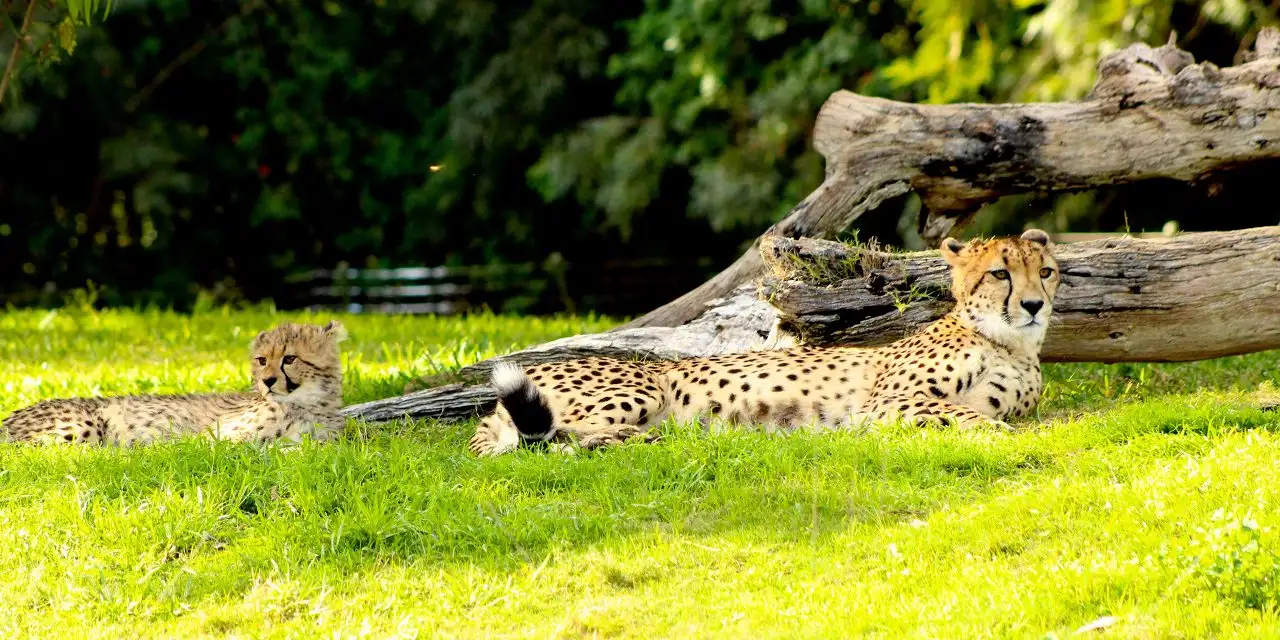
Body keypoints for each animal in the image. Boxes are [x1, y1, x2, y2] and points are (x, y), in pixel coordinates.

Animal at [471, 230, 1059, 455]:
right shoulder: (888, 402)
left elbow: (976, 413)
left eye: (1047, 271)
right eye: (1001, 273)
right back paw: (646, 438)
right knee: (558, 435)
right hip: (639, 389)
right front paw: (1005, 436)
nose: (1035, 305)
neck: (1008, 344)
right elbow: (967, 416)